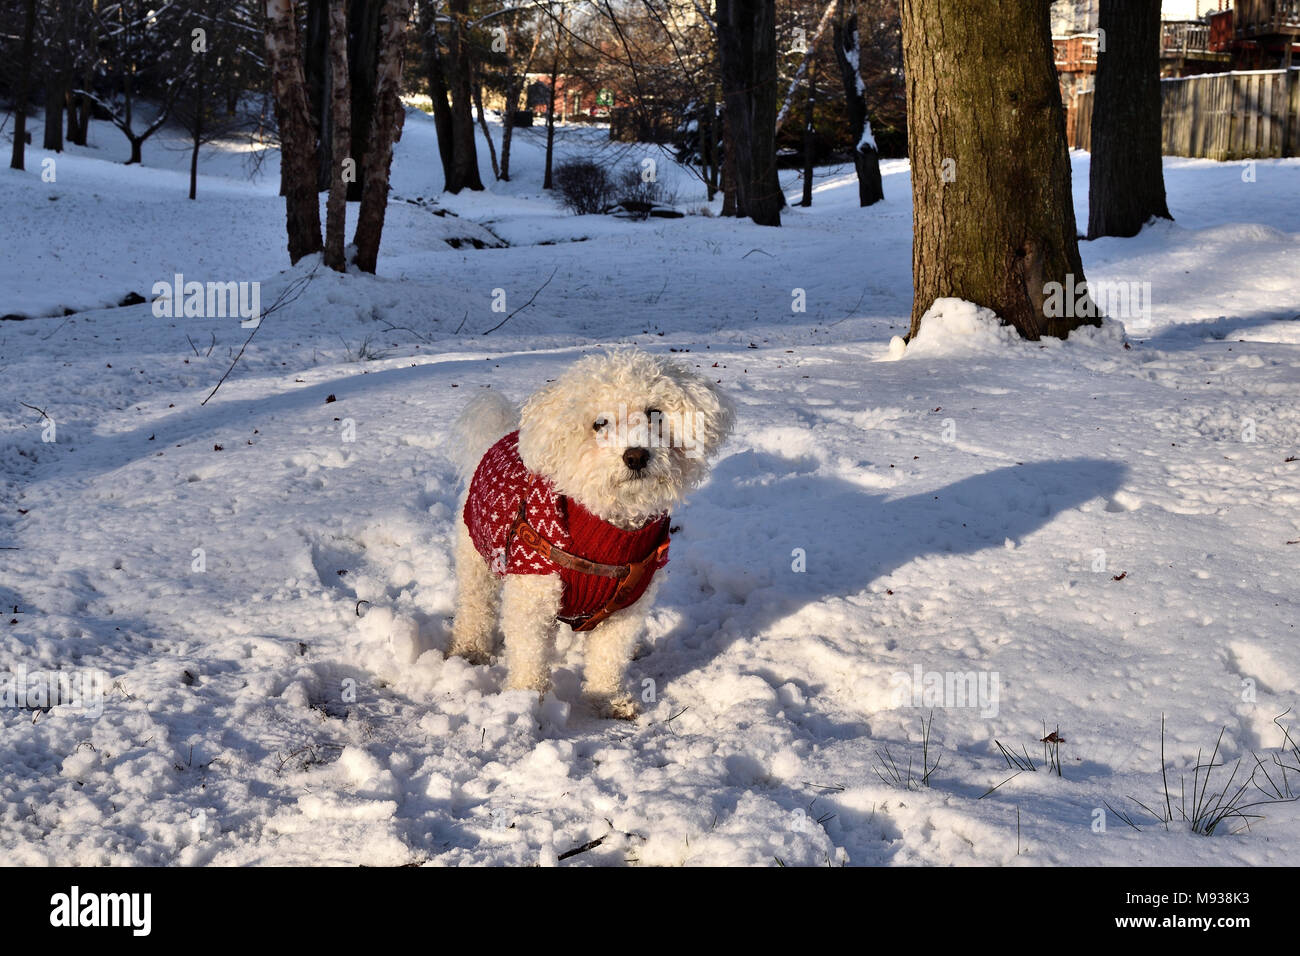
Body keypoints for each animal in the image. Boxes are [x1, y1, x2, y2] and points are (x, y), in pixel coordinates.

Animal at [447, 351, 733, 717]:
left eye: (654, 413)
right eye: (599, 423)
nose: (636, 455)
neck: (607, 526)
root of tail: (501, 434)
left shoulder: (626, 605)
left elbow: (608, 656)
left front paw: (606, 698)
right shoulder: (532, 595)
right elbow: (529, 655)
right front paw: (527, 702)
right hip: (476, 559)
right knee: (475, 606)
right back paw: (470, 647)